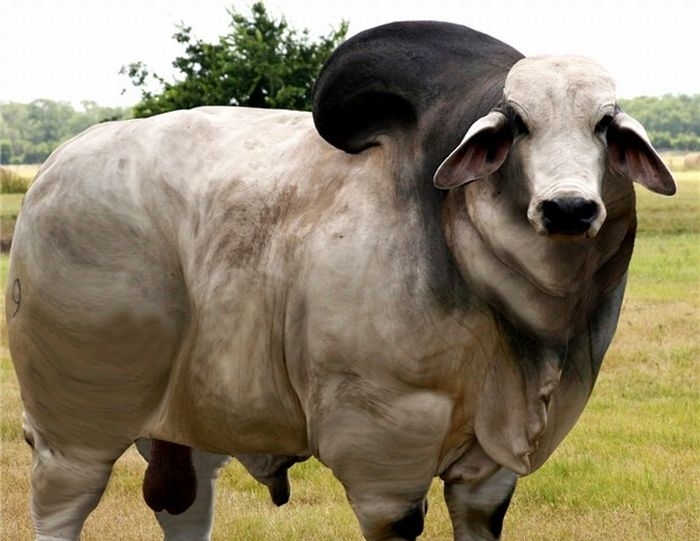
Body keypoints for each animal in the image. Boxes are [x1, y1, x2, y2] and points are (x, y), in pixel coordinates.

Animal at [5, 21, 675, 541]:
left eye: (604, 124)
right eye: (518, 125)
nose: (569, 209)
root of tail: (56, 167)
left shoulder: (489, 471)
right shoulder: (383, 454)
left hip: (185, 425)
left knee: (185, 505)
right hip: (76, 423)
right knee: (64, 505)